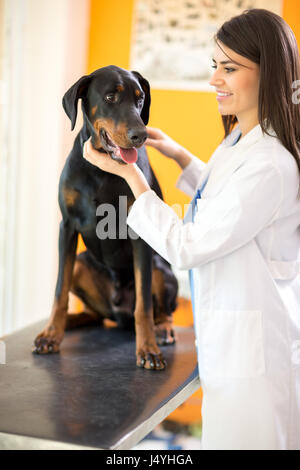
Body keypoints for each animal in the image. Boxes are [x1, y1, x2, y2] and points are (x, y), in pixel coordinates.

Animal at [32, 66, 178, 370]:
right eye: (111, 97)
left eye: (140, 98)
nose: (140, 135)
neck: (102, 171)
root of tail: (117, 309)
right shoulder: (67, 225)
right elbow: (59, 292)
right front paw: (51, 334)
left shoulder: (140, 237)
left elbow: (144, 305)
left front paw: (147, 350)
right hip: (80, 264)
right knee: (95, 314)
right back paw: (68, 323)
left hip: (161, 269)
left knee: (158, 309)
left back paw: (163, 329)